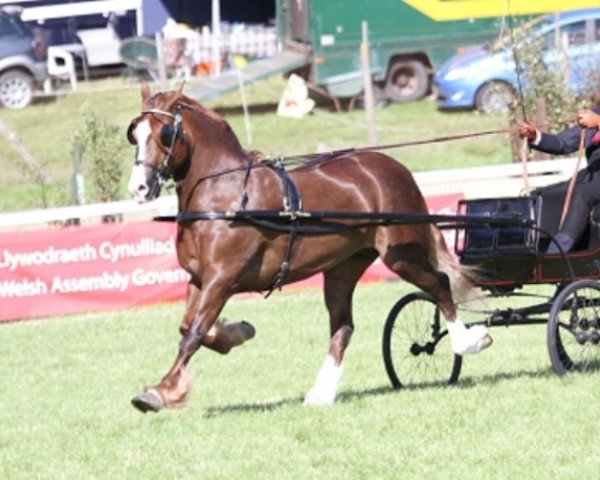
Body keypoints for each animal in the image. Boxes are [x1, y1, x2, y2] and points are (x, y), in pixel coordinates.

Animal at [126, 83, 492, 412]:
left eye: (165, 133)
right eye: (135, 134)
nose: (138, 189)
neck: (225, 193)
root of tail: (396, 169)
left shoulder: (222, 278)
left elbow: (194, 334)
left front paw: (158, 393)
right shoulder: (200, 278)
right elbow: (189, 326)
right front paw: (237, 333)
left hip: (402, 257)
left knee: (439, 284)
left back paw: (468, 341)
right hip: (343, 267)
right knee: (343, 327)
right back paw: (321, 393)